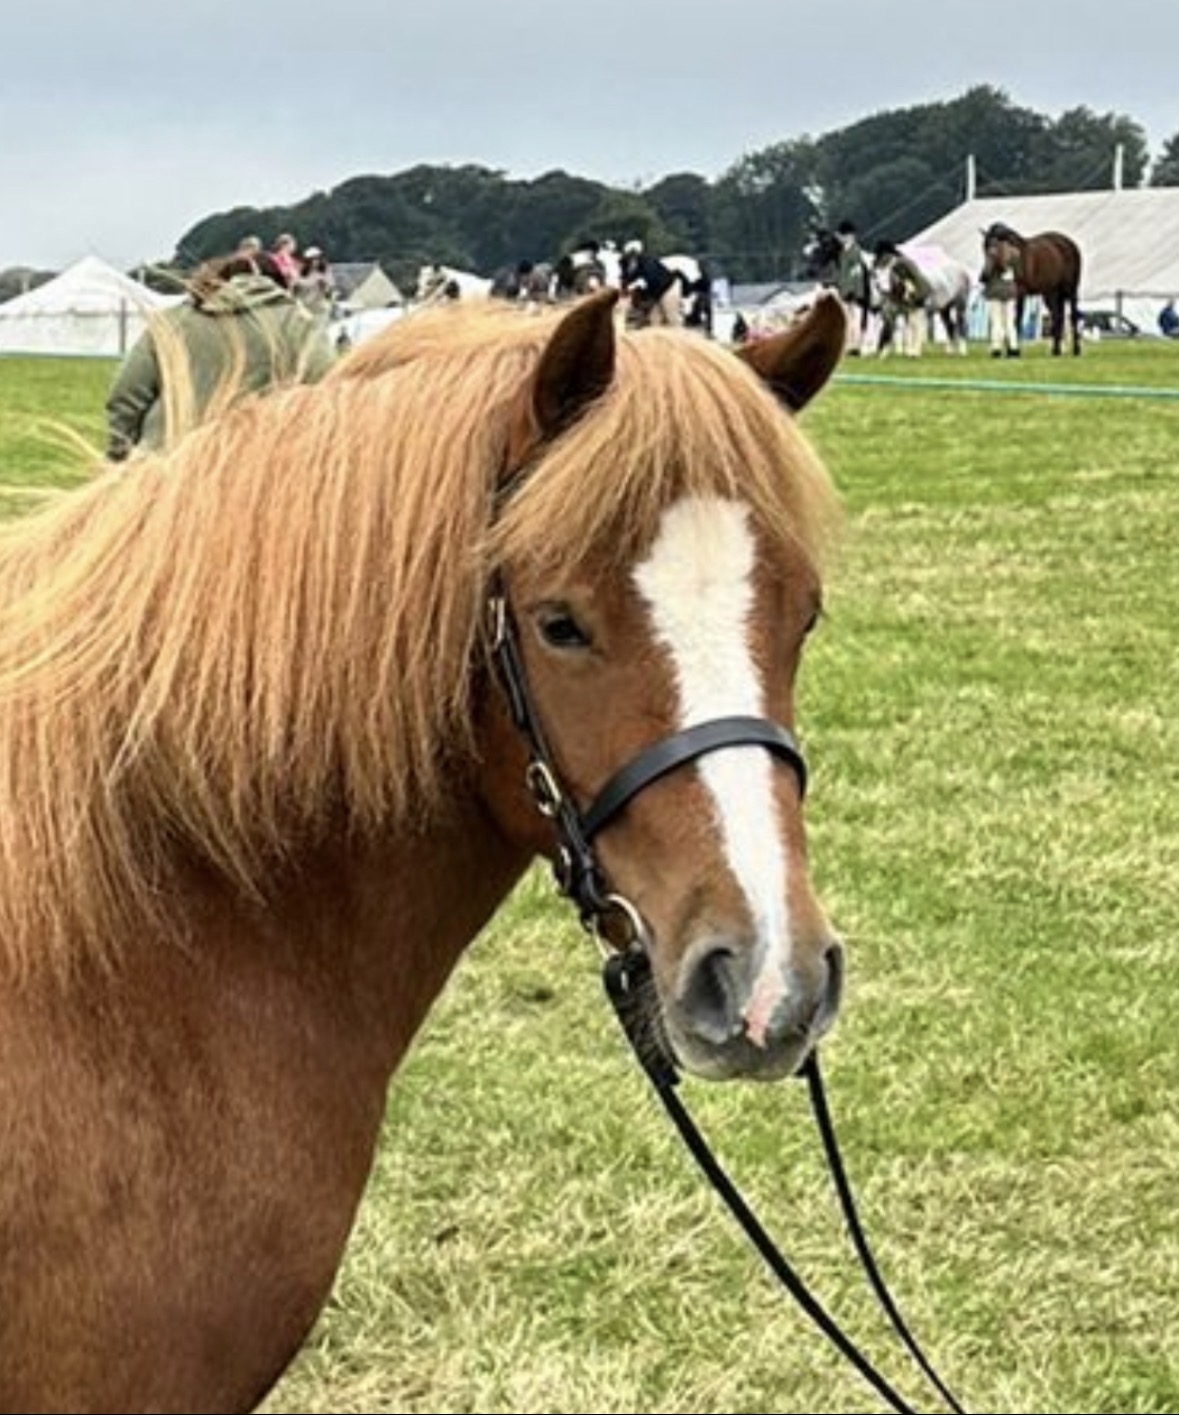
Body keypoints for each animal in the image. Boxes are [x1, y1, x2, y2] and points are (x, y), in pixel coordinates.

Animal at [981, 222, 1082, 355]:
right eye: (984, 249)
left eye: (993, 250)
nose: (983, 277)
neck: (1018, 260)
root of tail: (1071, 244)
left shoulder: (1020, 292)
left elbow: (1017, 319)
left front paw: (1013, 350)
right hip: (1050, 293)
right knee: (1057, 317)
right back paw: (1056, 350)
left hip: (1071, 290)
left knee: (1073, 316)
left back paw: (1076, 349)